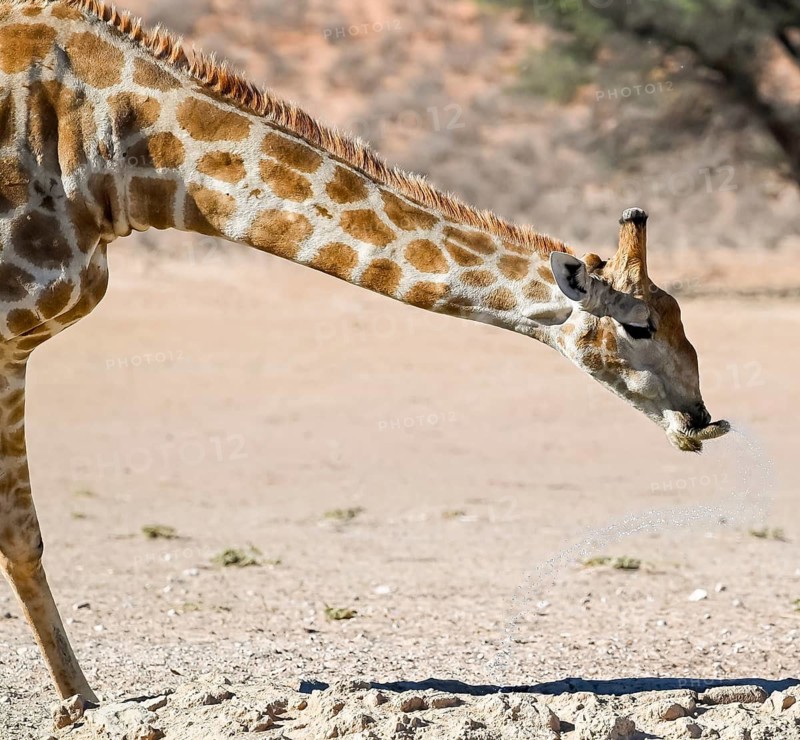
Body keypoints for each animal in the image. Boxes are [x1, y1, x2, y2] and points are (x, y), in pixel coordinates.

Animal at [0, 0, 730, 702]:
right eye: (640, 326)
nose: (701, 418)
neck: (117, 154)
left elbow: (21, 532)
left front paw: (79, 698)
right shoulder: (11, 333)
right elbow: (20, 533)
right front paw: (79, 702)